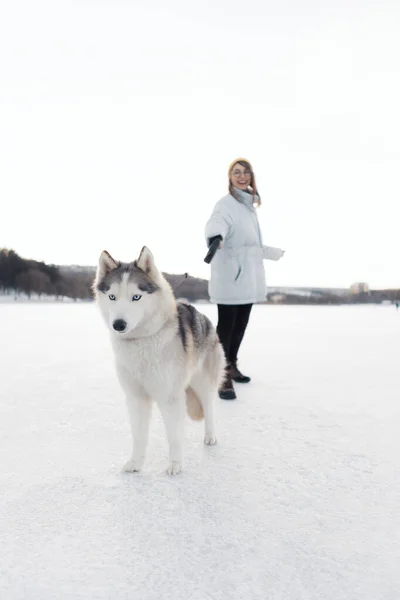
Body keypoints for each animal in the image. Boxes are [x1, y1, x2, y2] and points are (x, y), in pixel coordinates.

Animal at [94, 246, 225, 476]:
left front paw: (175, 464)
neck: (141, 340)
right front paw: (136, 462)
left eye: (136, 297)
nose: (118, 324)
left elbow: (173, 436)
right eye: (112, 296)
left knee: (209, 408)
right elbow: (139, 436)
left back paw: (210, 436)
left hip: (203, 383)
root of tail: (202, 316)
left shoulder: (169, 397)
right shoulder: (136, 397)